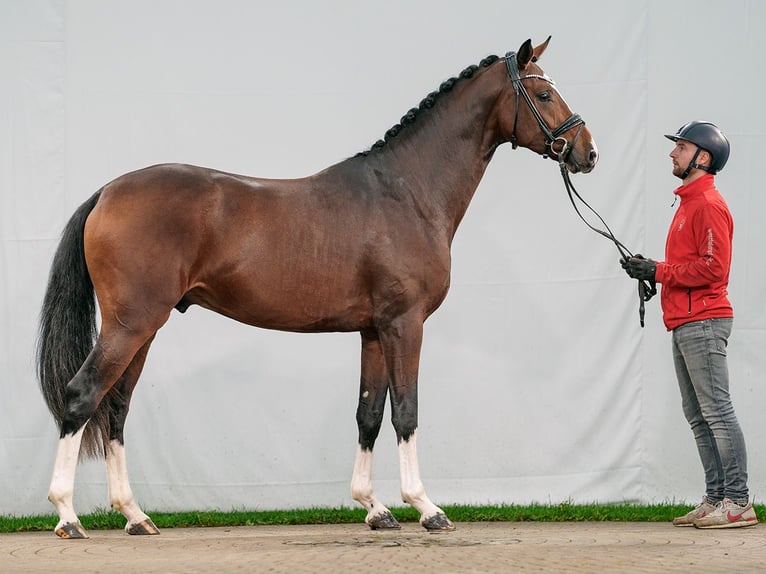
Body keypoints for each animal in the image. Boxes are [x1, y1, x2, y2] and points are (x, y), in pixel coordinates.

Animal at [37, 38, 600, 544]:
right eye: (543, 94)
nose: (587, 152)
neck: (407, 192)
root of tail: (107, 192)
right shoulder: (405, 325)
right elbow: (407, 411)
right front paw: (426, 508)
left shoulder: (373, 331)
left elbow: (369, 414)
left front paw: (375, 509)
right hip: (132, 324)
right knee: (82, 395)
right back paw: (68, 516)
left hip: (142, 329)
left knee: (116, 408)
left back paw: (135, 517)